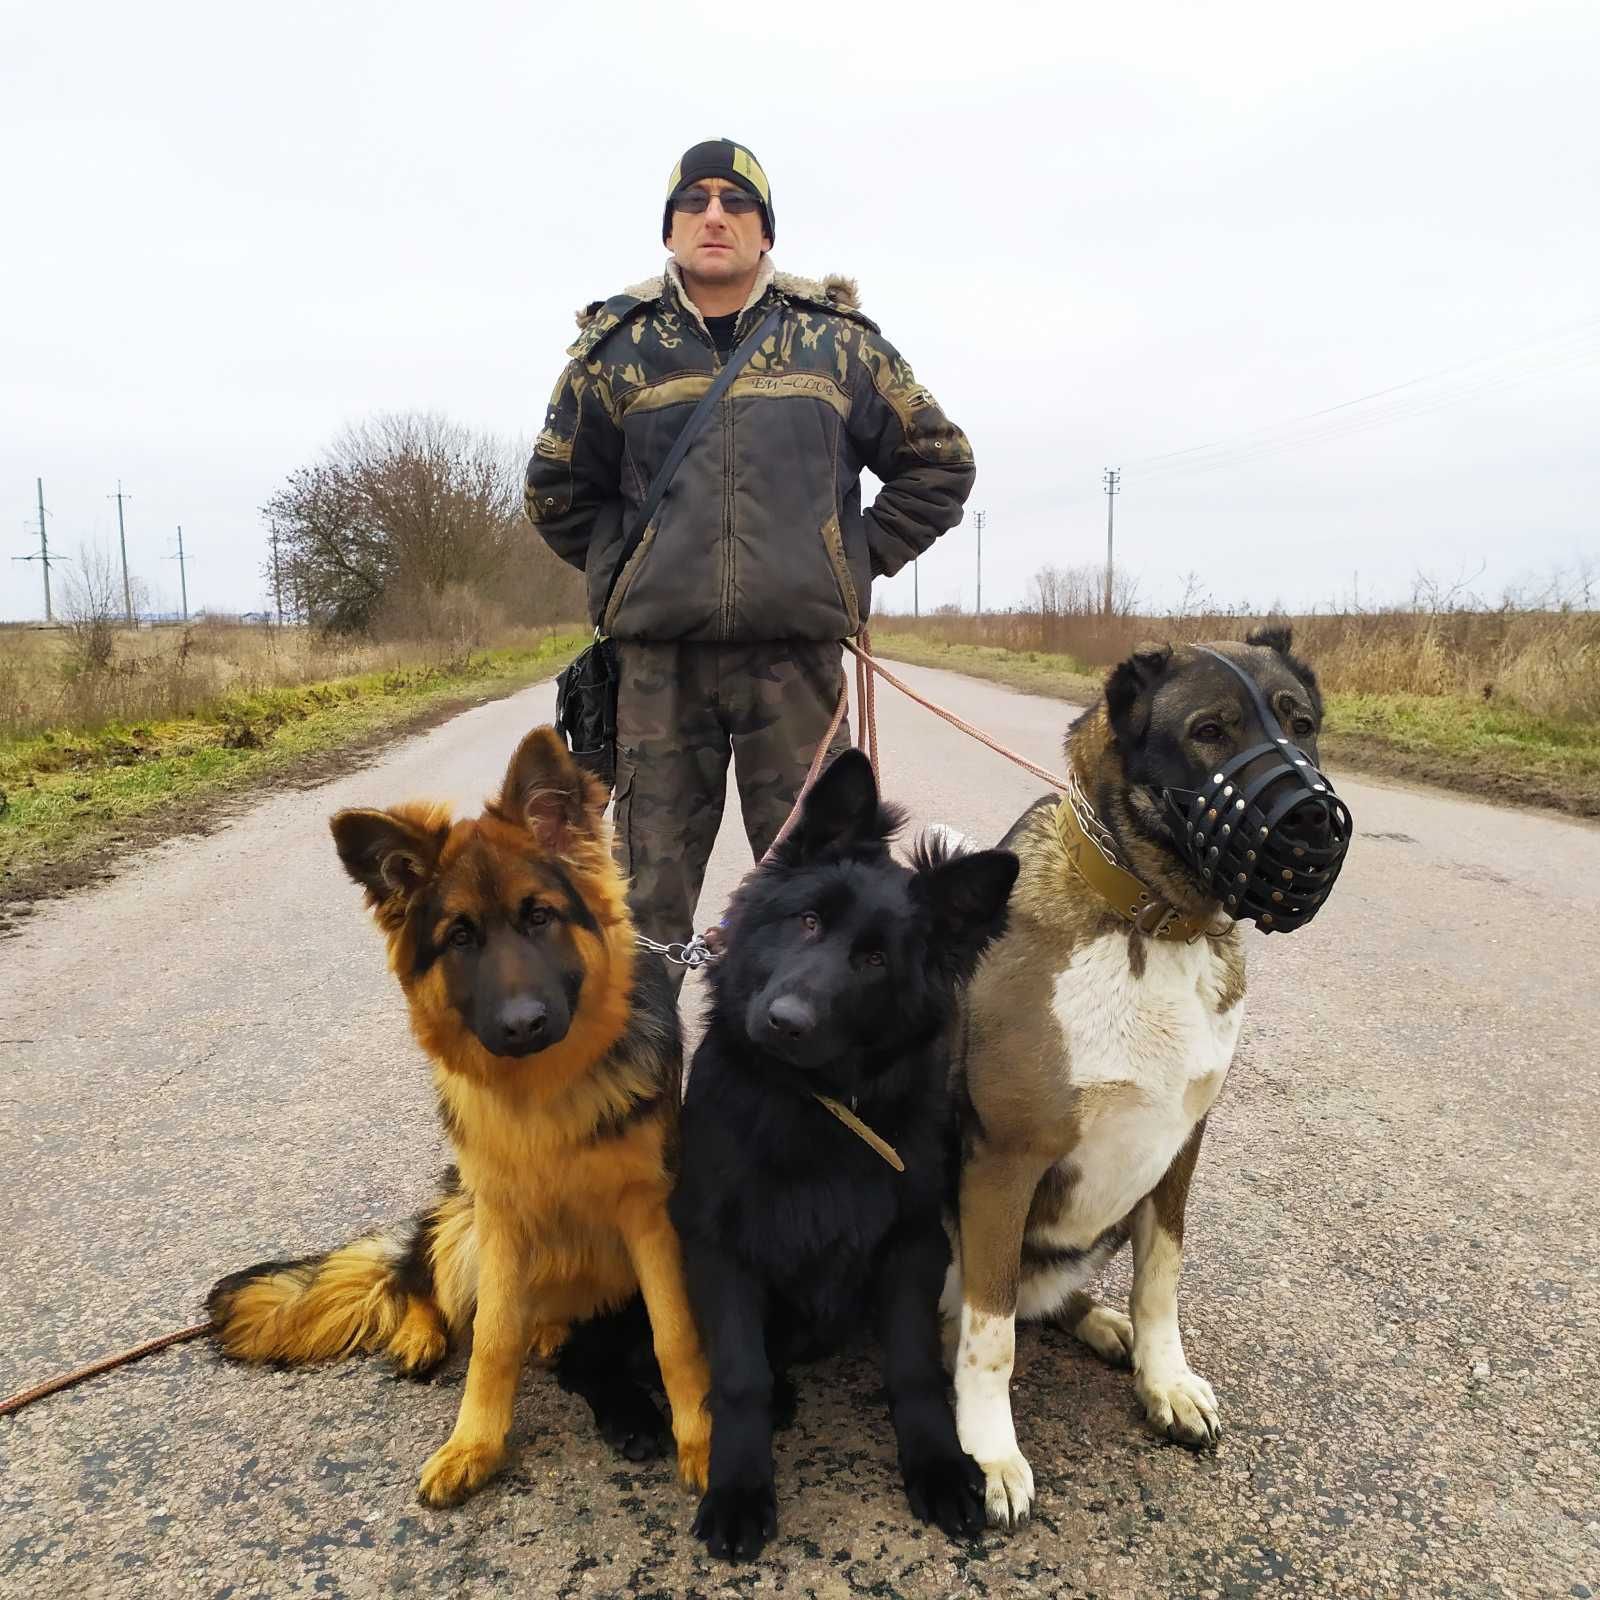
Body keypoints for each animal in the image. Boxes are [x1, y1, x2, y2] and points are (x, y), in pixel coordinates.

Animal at [940, 627, 1344, 1523]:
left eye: (1302, 724)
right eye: (1209, 731)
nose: (1311, 819)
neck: (1156, 922)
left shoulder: (1181, 1146)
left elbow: (1161, 1280)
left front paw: (1164, 1379)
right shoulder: (1002, 1165)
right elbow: (992, 1335)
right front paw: (987, 1452)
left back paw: (1099, 1325)